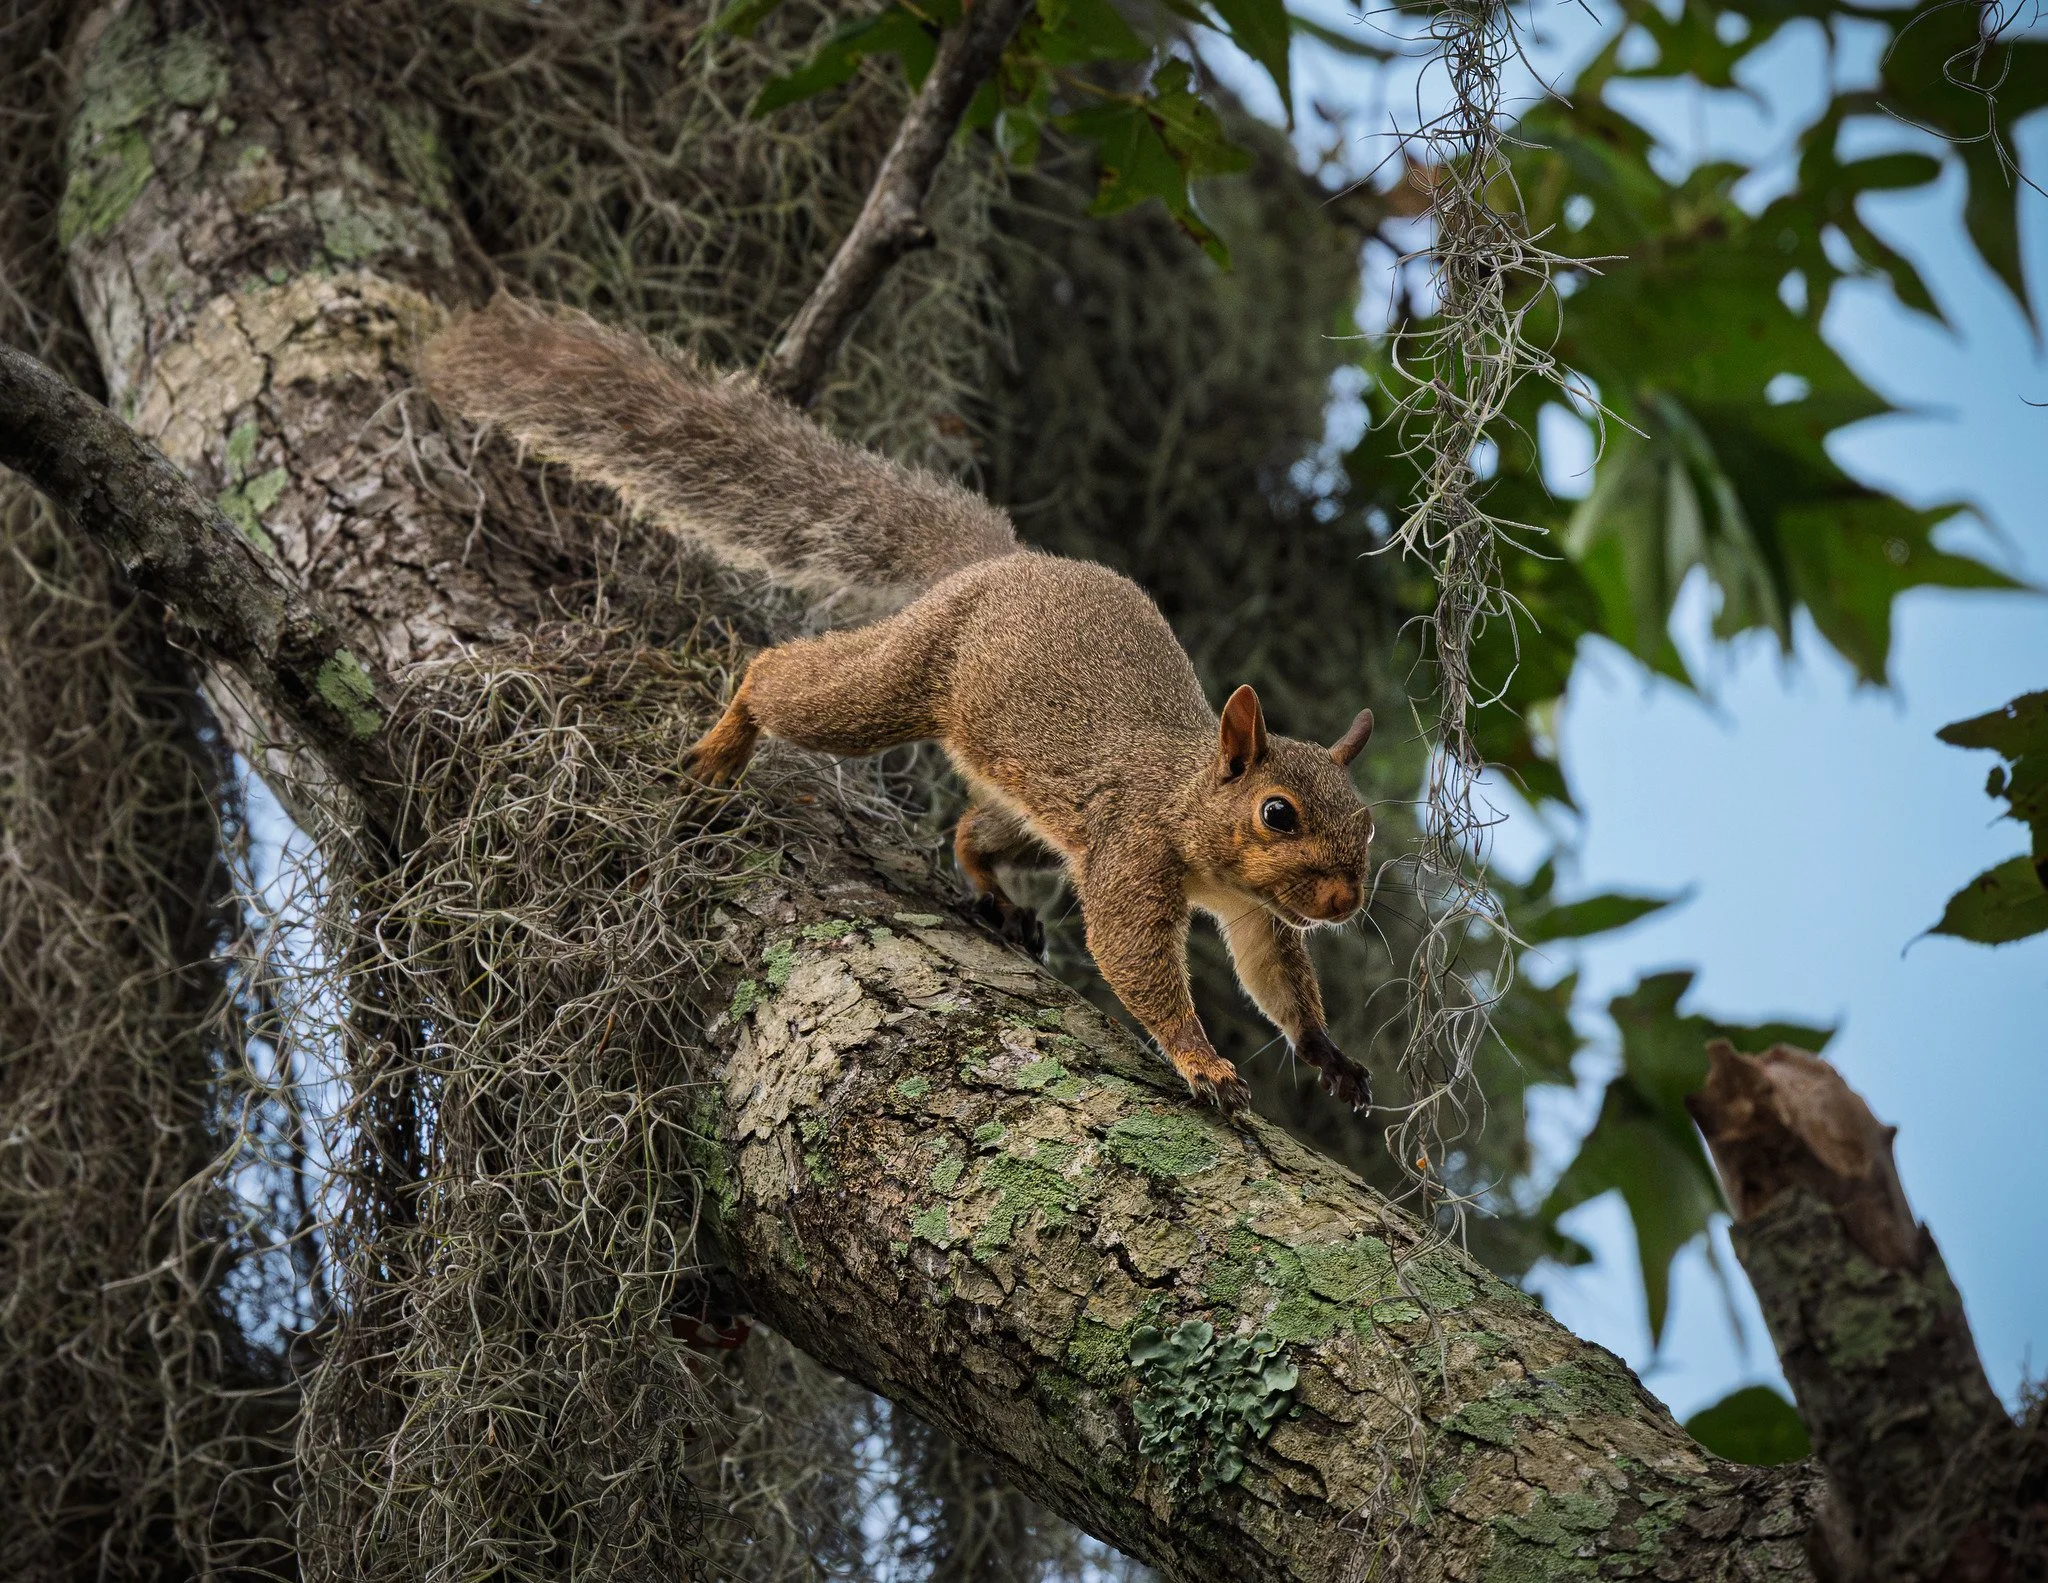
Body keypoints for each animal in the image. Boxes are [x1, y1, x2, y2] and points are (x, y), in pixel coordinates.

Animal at [420, 297, 1378, 1115]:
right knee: (780, 679)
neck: (1189, 798)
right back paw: (726, 747)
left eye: (1365, 824)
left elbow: (1277, 975)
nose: (1344, 903)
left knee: (971, 830)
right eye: (1278, 813)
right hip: (901, 681)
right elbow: (1133, 956)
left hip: (1028, 810)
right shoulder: (1132, 850)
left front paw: (1328, 1053)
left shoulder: (1254, 908)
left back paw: (993, 894)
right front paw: (1201, 1059)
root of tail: (999, 562)